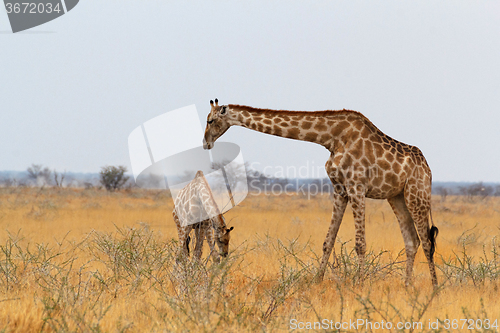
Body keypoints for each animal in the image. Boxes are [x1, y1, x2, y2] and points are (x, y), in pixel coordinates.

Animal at [203, 98, 438, 286]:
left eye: (210, 120)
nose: (206, 143)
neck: (331, 138)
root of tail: (427, 168)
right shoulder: (340, 189)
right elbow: (328, 241)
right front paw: (317, 280)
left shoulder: (357, 187)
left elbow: (360, 244)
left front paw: (361, 284)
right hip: (396, 197)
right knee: (412, 241)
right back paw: (407, 285)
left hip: (417, 193)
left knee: (427, 241)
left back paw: (435, 288)